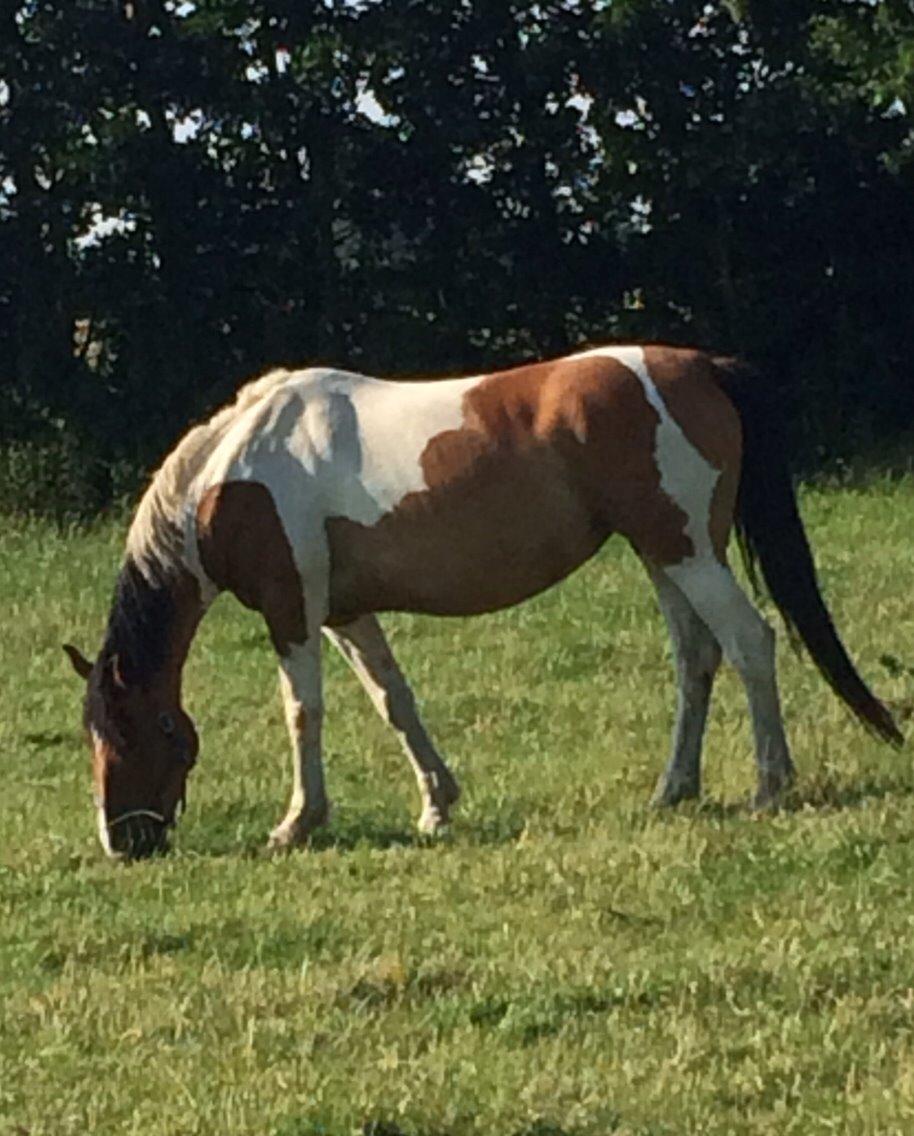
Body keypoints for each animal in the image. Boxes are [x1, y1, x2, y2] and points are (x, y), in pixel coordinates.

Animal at [62, 340, 899, 854]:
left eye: (131, 734)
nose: (121, 842)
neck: (232, 474)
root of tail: (699, 365)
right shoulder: (344, 613)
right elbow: (393, 701)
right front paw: (437, 806)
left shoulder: (289, 607)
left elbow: (304, 711)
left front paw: (298, 823)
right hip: (667, 554)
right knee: (696, 659)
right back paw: (674, 789)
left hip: (686, 551)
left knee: (749, 641)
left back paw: (770, 785)